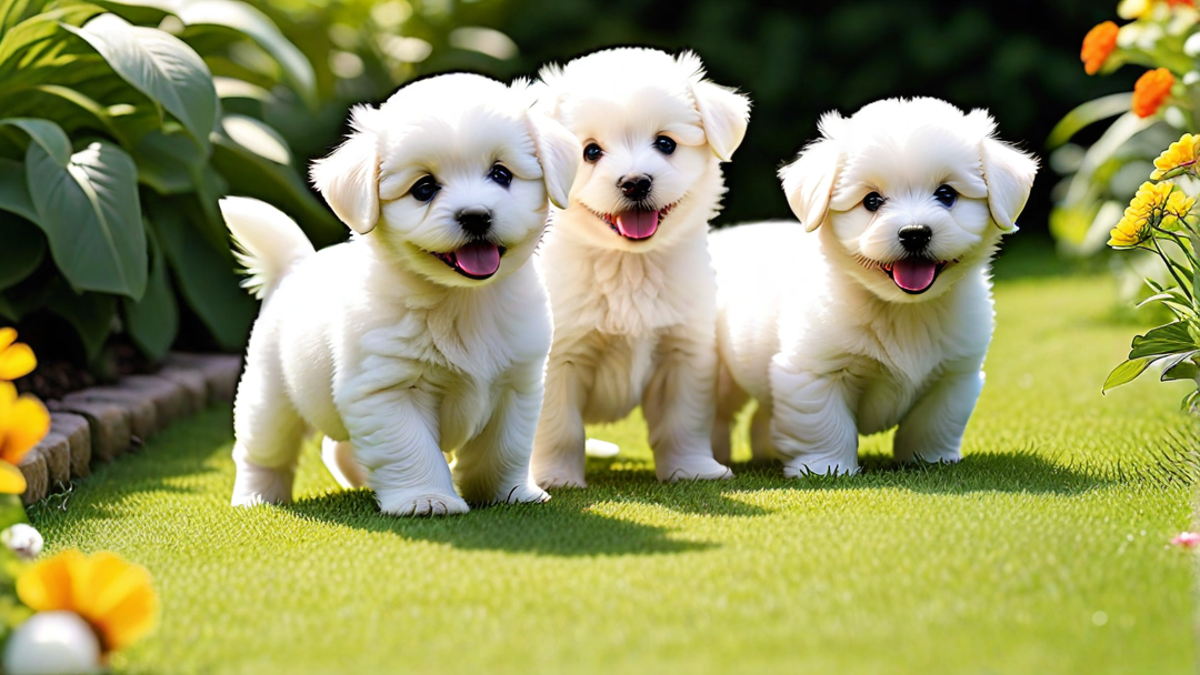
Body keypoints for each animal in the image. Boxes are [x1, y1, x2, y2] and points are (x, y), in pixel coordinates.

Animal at [225, 73, 585, 514]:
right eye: (424, 188)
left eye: (501, 174)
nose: (476, 216)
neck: (462, 301)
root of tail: (293, 267)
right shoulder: (388, 389)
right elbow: (411, 448)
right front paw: (426, 499)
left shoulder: (516, 384)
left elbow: (504, 448)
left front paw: (509, 493)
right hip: (270, 396)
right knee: (262, 453)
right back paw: (256, 497)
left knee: (338, 448)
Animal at [528, 48, 744, 487]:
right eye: (590, 152)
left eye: (665, 143)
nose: (635, 181)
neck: (629, 266)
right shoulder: (559, 358)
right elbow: (559, 425)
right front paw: (557, 479)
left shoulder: (684, 352)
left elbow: (683, 421)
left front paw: (692, 471)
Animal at [705, 97, 1036, 475]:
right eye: (872, 201)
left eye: (946, 194)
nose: (914, 232)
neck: (904, 311)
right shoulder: (815, 372)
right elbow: (825, 425)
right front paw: (827, 468)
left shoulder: (954, 375)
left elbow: (933, 423)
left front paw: (932, 460)